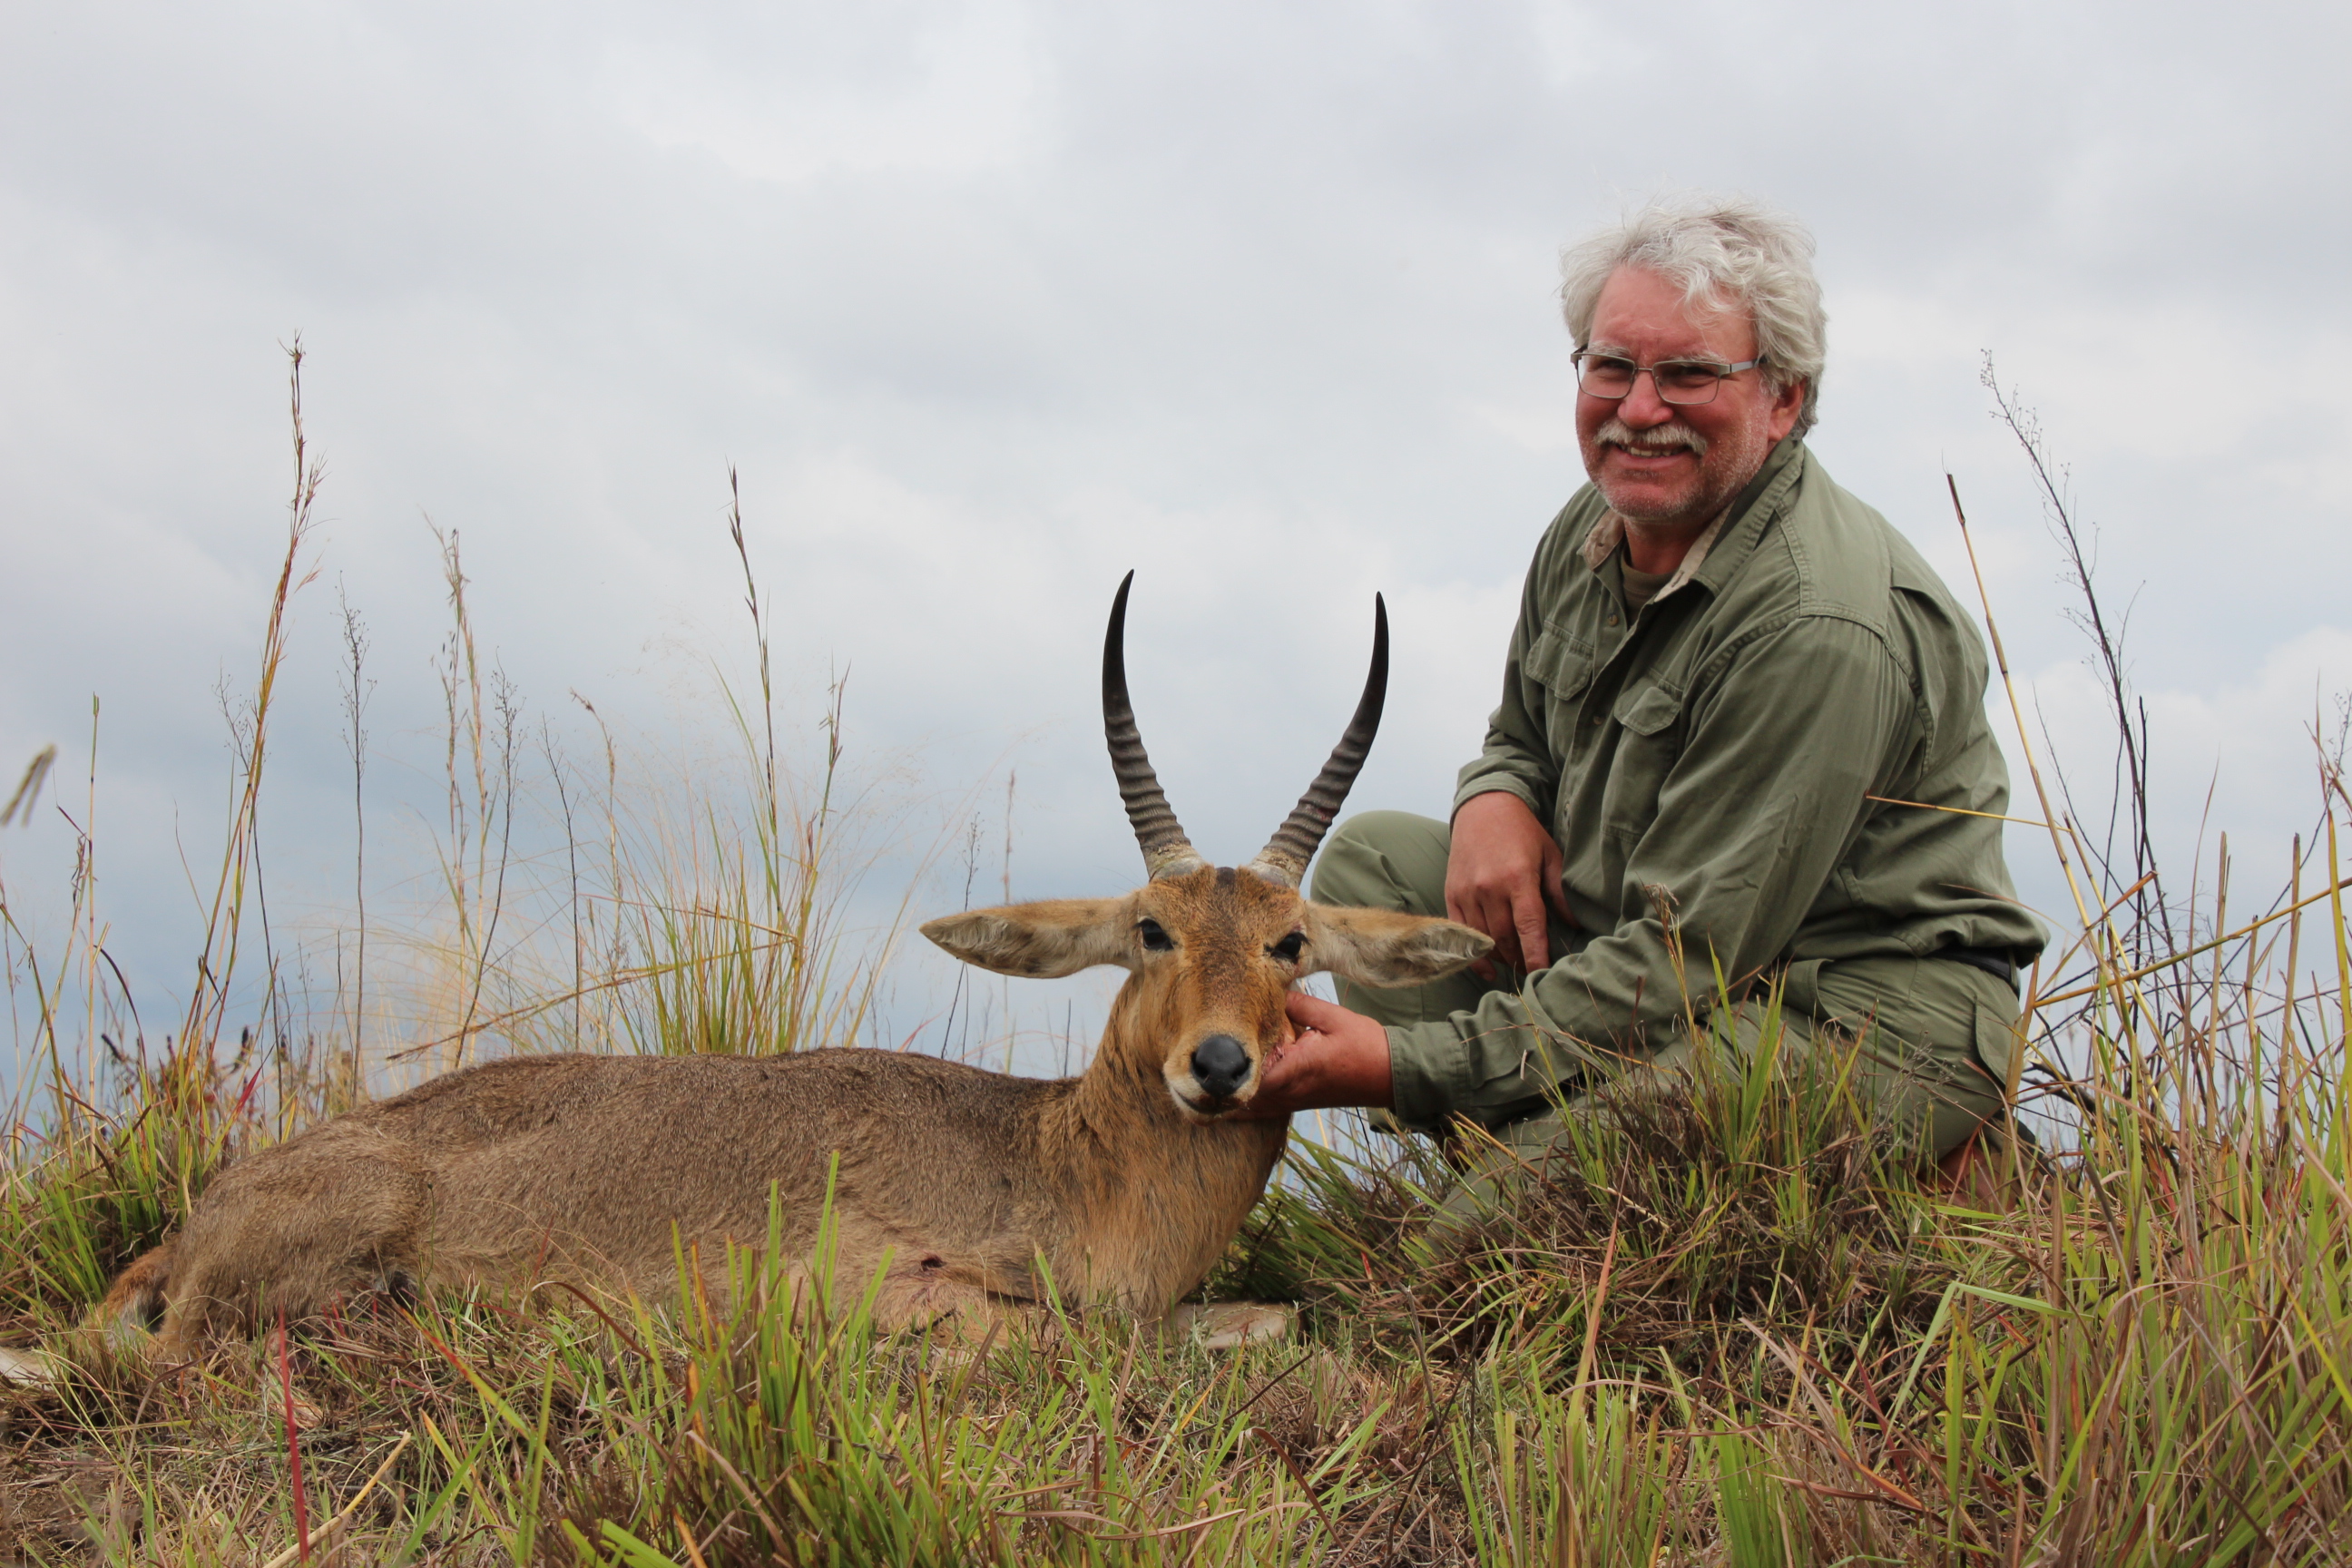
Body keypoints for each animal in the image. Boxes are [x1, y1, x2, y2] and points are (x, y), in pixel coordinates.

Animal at [54, 573, 1476, 1363]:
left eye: (1291, 942)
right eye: (1151, 928)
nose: (1219, 1064)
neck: (1062, 1166)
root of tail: (197, 1222)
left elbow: (1261, 1318)